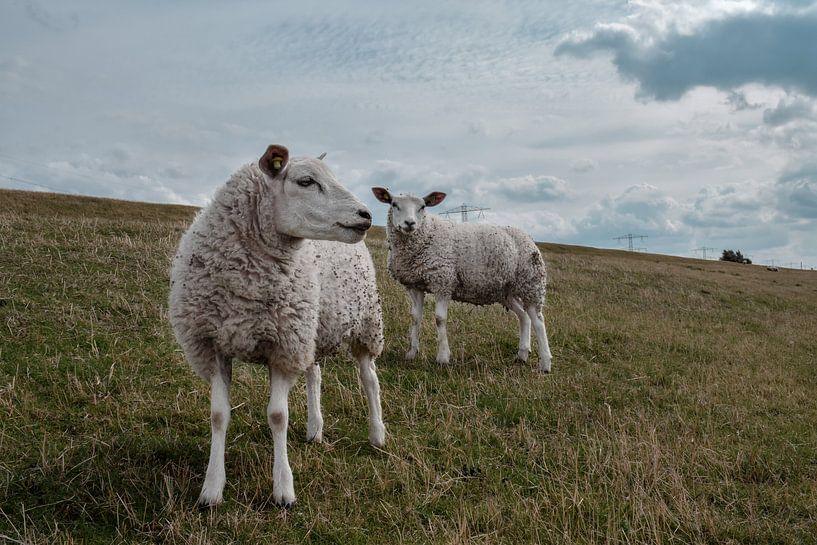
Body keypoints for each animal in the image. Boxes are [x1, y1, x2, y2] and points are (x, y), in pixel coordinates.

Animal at [169, 147, 386, 508]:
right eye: (306, 181)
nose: (366, 215)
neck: (247, 280)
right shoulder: (214, 346)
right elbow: (218, 415)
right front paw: (212, 489)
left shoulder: (283, 348)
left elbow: (277, 416)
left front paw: (283, 489)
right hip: (310, 328)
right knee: (314, 375)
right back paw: (315, 429)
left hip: (364, 323)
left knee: (369, 378)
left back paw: (377, 434)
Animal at [372, 185, 552, 372]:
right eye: (394, 204)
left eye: (422, 207)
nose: (409, 223)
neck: (426, 232)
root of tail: (527, 237)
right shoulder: (414, 285)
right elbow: (415, 317)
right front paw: (411, 353)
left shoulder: (443, 281)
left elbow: (440, 319)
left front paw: (443, 358)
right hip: (506, 292)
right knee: (523, 317)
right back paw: (521, 355)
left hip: (531, 283)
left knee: (538, 321)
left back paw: (545, 364)